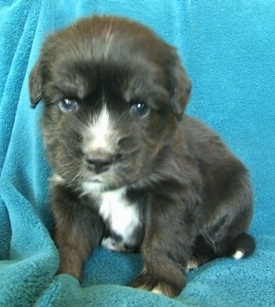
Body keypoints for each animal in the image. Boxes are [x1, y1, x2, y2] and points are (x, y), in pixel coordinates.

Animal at [29, 15, 256, 298]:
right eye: (68, 102)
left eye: (139, 107)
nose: (99, 160)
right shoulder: (71, 196)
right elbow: (70, 241)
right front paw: (62, 279)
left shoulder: (172, 193)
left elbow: (161, 239)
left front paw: (159, 279)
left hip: (236, 197)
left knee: (219, 242)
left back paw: (195, 255)